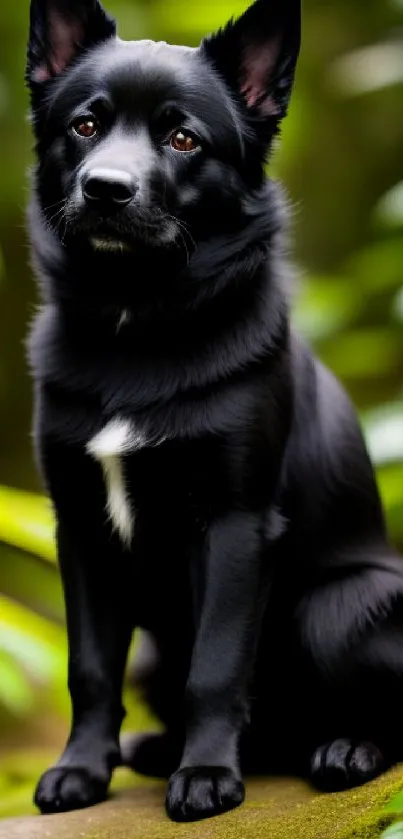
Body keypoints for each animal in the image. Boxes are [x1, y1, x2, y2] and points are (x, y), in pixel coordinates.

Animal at [26, 0, 403, 824]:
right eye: (85, 126)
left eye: (183, 138)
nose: (105, 189)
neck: (135, 322)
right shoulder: (82, 530)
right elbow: (89, 667)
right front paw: (81, 770)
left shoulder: (233, 524)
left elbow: (218, 664)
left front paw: (204, 776)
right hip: (153, 652)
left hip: (343, 605)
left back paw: (345, 749)